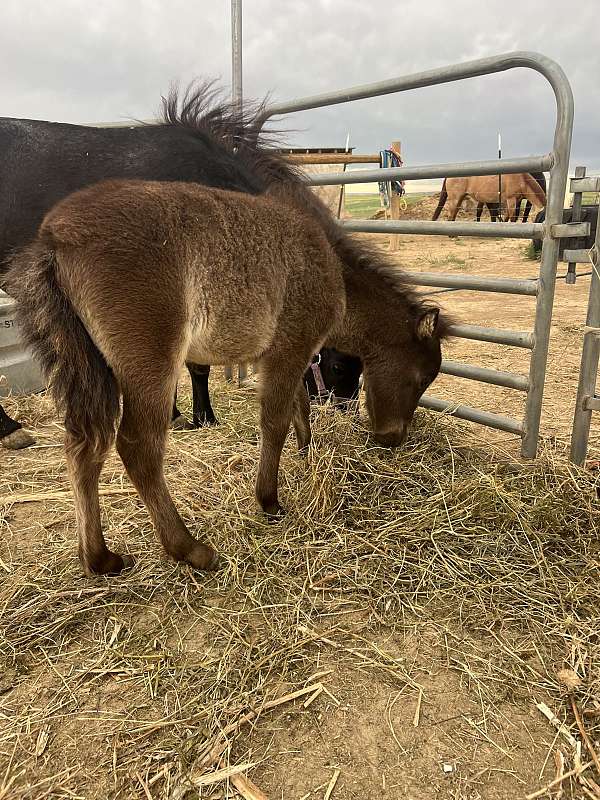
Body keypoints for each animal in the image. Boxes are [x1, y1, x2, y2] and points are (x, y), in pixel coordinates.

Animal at [7, 177, 448, 576]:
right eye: (421, 378)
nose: (392, 438)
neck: (333, 273)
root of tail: (54, 237)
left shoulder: (291, 355)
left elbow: (300, 405)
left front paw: (307, 453)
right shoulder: (288, 349)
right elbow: (275, 421)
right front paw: (269, 501)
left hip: (87, 364)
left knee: (85, 445)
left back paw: (100, 559)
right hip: (150, 360)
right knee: (137, 446)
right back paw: (191, 550)